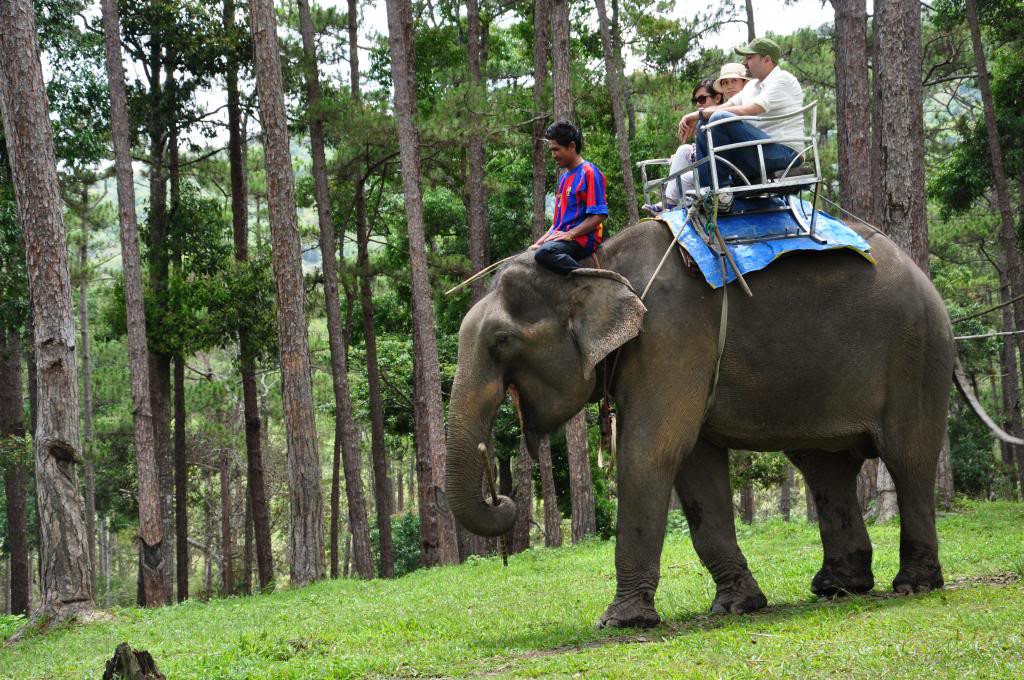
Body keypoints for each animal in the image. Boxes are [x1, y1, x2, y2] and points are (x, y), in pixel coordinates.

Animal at [444, 218, 954, 626]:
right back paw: (836, 587)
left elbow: (651, 452)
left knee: (908, 458)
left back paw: (913, 584)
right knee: (824, 466)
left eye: (502, 340)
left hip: (917, 355)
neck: (596, 263)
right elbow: (693, 465)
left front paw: (620, 621)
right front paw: (736, 606)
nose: (503, 498)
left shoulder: (673, 337)